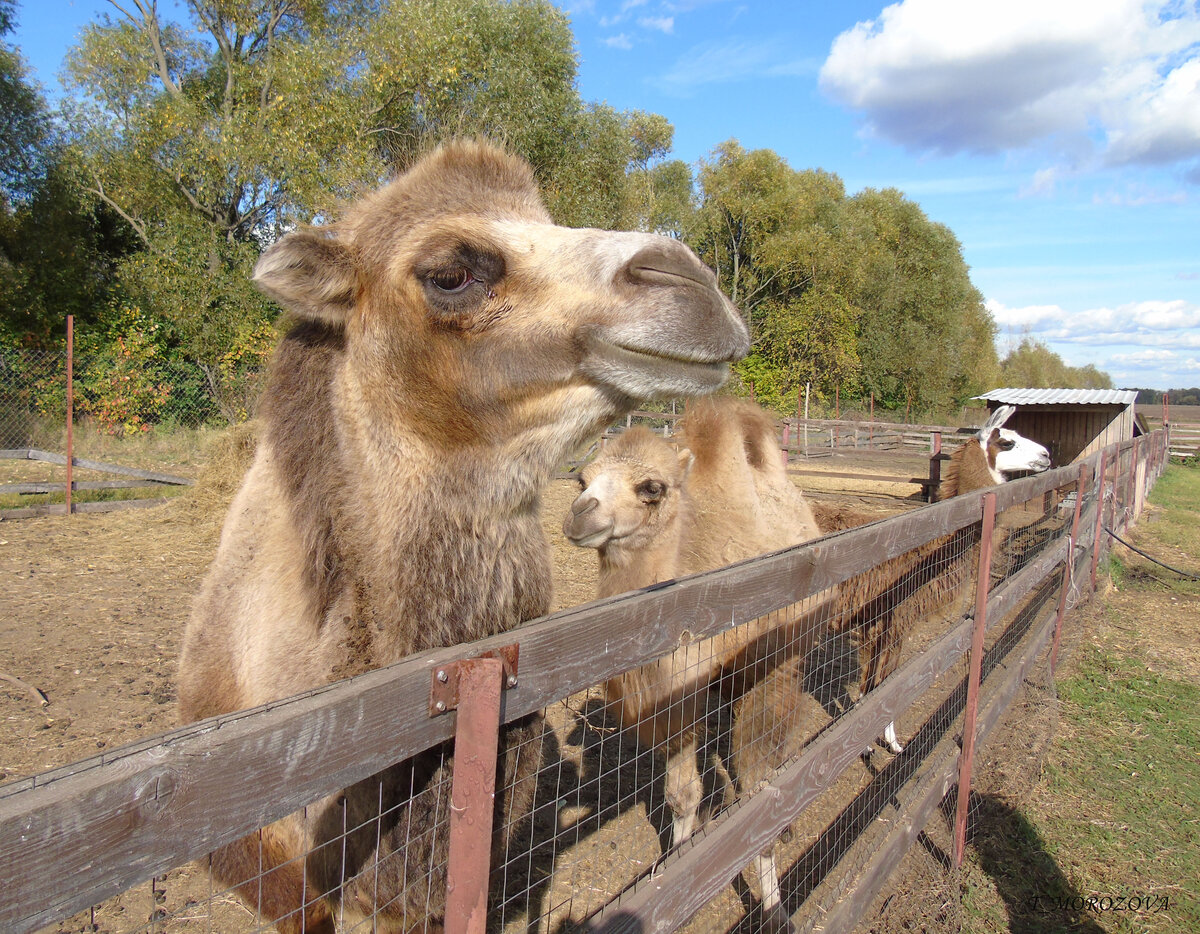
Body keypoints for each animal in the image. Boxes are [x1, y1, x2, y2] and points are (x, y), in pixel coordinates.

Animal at [561, 393, 825, 931]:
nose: (579, 514)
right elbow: (681, 794)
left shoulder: (760, 668)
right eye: (582, 478)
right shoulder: (673, 696)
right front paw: (677, 870)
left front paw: (774, 905)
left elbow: (756, 787)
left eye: (652, 488)